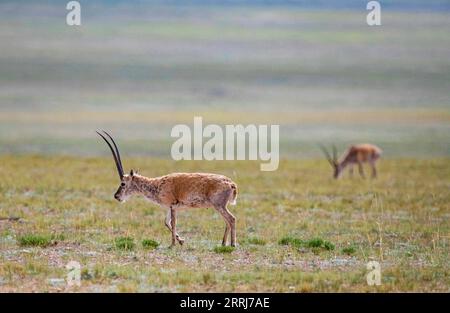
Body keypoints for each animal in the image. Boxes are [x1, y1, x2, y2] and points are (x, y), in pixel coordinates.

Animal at [96, 130, 239, 246]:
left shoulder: (173, 206)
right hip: (219, 206)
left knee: (231, 219)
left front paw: (173, 244)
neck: (157, 184)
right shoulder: (170, 208)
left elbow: (173, 223)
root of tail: (231, 183)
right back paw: (223, 243)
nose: (116, 196)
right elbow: (166, 222)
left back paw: (232, 244)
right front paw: (181, 241)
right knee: (227, 221)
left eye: (123, 183)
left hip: (219, 205)